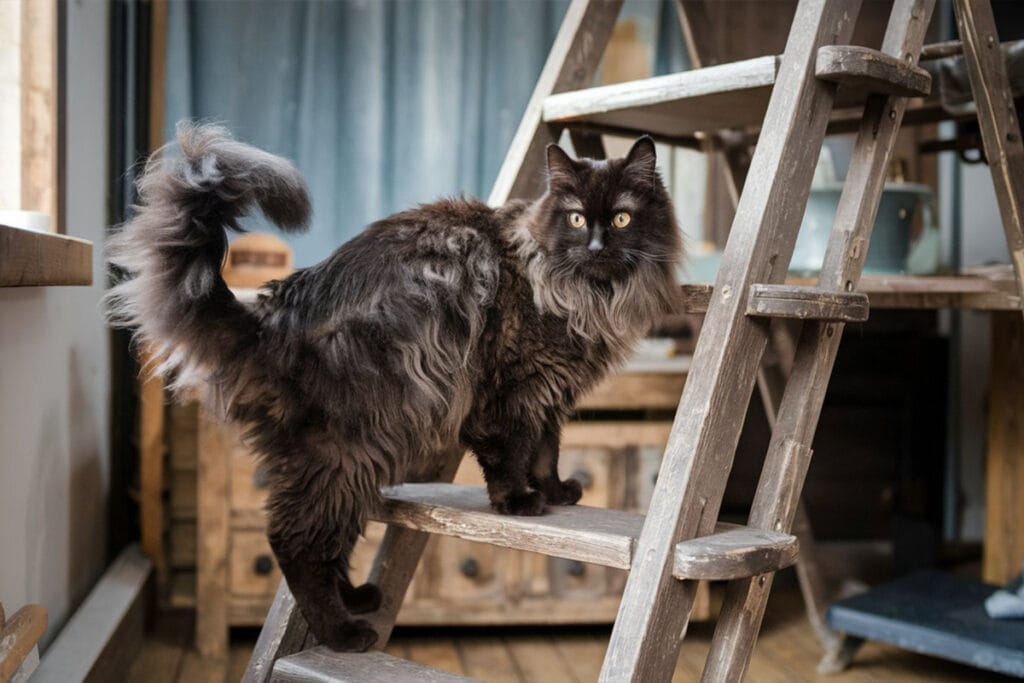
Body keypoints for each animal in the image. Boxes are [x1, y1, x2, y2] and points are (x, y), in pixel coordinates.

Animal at [105, 124, 679, 651]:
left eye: (622, 218)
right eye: (577, 218)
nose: (597, 245)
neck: (587, 296)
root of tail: (271, 318)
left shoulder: (549, 393)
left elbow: (546, 449)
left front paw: (556, 491)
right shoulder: (509, 391)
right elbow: (512, 454)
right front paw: (519, 503)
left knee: (328, 544)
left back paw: (357, 598)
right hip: (348, 450)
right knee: (292, 543)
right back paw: (342, 633)